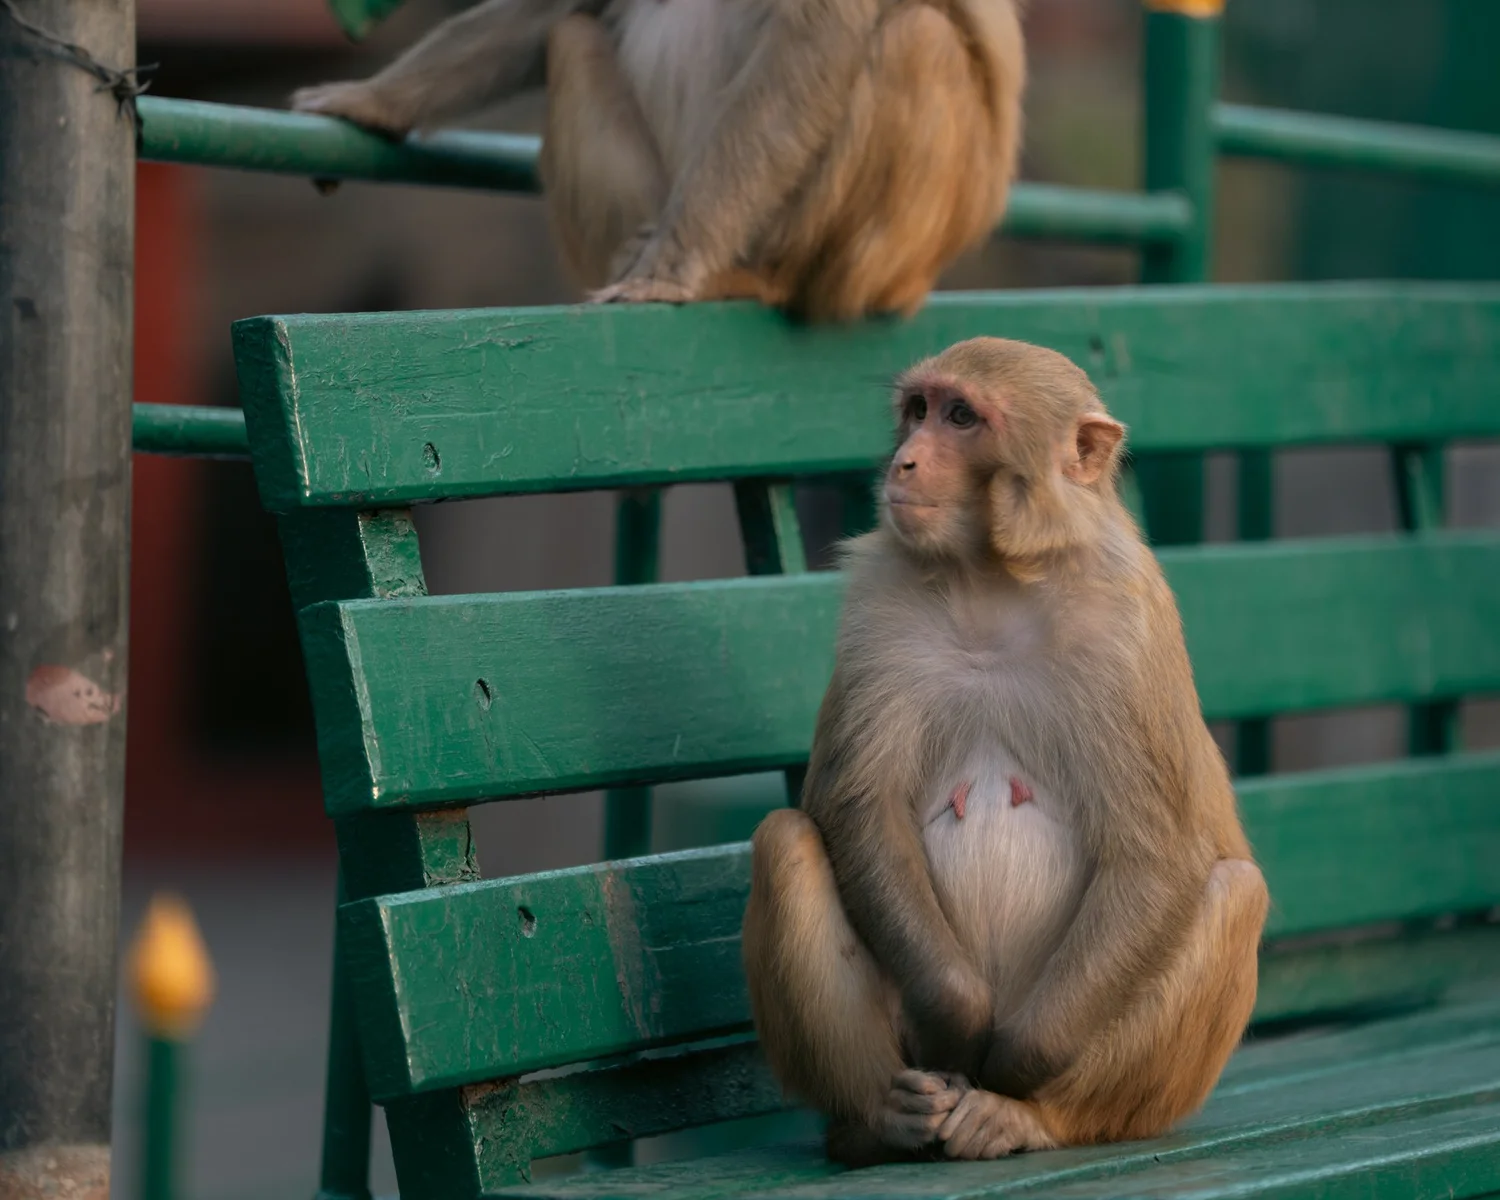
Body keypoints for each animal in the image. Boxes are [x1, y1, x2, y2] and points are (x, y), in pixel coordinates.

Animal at [289, 0, 1025, 321]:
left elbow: (818, 35)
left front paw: (672, 267)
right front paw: (369, 101)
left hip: (893, 250)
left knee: (918, 37)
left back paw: (760, 277)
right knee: (573, 39)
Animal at [741, 337, 1269, 1164]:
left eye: (962, 418)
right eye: (918, 410)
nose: (905, 464)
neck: (995, 576)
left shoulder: (1128, 625)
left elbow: (1155, 855)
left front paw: (1013, 1064)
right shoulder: (880, 607)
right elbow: (860, 807)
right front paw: (956, 1019)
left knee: (1235, 893)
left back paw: (1032, 1117)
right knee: (787, 842)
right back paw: (877, 1122)